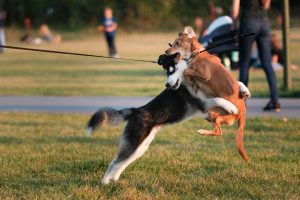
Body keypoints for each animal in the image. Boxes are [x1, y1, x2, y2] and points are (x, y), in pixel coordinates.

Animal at [86, 53, 244, 184]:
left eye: (172, 69)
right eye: (166, 71)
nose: (167, 85)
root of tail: (136, 110)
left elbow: (236, 84)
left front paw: (244, 90)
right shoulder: (201, 103)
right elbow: (218, 99)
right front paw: (232, 107)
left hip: (140, 148)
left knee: (121, 163)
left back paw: (114, 180)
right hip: (134, 142)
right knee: (115, 161)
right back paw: (104, 182)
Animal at [165, 27, 250, 161]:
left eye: (177, 43)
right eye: (173, 43)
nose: (166, 51)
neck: (196, 55)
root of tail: (242, 112)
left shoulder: (205, 75)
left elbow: (187, 70)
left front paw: (191, 81)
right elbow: (187, 71)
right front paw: (192, 82)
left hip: (217, 114)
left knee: (219, 131)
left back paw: (203, 131)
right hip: (214, 113)